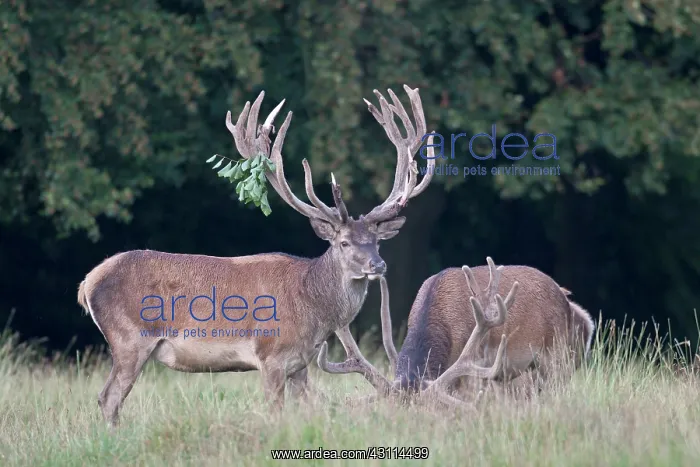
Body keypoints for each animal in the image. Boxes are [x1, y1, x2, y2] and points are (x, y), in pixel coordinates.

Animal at [77, 84, 437, 427]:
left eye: (376, 241)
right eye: (344, 243)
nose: (378, 264)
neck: (312, 308)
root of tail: (87, 283)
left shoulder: (300, 363)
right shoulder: (270, 355)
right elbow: (275, 410)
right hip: (129, 339)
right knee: (108, 397)